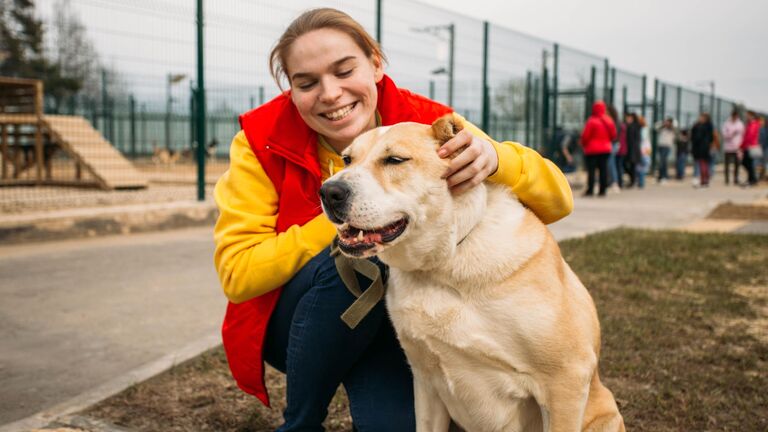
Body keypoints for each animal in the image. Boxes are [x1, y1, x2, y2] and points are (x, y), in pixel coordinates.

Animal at [318, 115, 624, 432]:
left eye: (395, 160)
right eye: (347, 159)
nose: (329, 191)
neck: (443, 263)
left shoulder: (566, 379)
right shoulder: (426, 382)